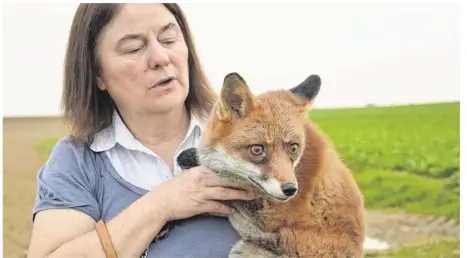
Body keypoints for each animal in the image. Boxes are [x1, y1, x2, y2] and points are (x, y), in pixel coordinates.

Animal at [177, 72, 368, 258]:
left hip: (243, 249)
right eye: (257, 149)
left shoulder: (268, 215)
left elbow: (227, 193)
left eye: (293, 148)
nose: (291, 189)